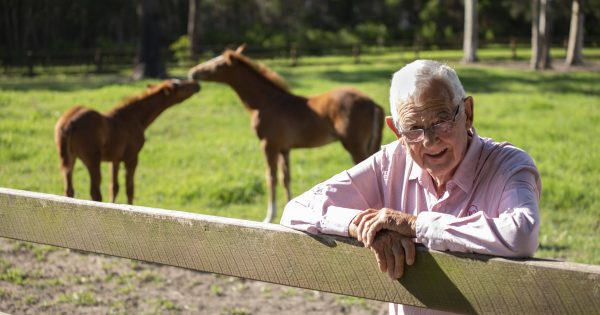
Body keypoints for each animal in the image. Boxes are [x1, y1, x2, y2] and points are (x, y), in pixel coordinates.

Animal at [54, 79, 199, 205]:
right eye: (180, 86)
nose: (197, 85)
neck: (131, 118)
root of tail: (69, 123)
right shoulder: (131, 158)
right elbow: (130, 189)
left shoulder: (114, 159)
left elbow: (114, 187)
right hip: (92, 161)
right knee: (95, 192)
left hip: (68, 161)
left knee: (69, 190)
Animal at [188, 47, 384, 225]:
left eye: (218, 64)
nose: (194, 72)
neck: (266, 103)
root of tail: (372, 103)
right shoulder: (285, 149)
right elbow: (285, 178)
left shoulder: (269, 145)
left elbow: (271, 178)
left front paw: (269, 217)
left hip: (354, 145)